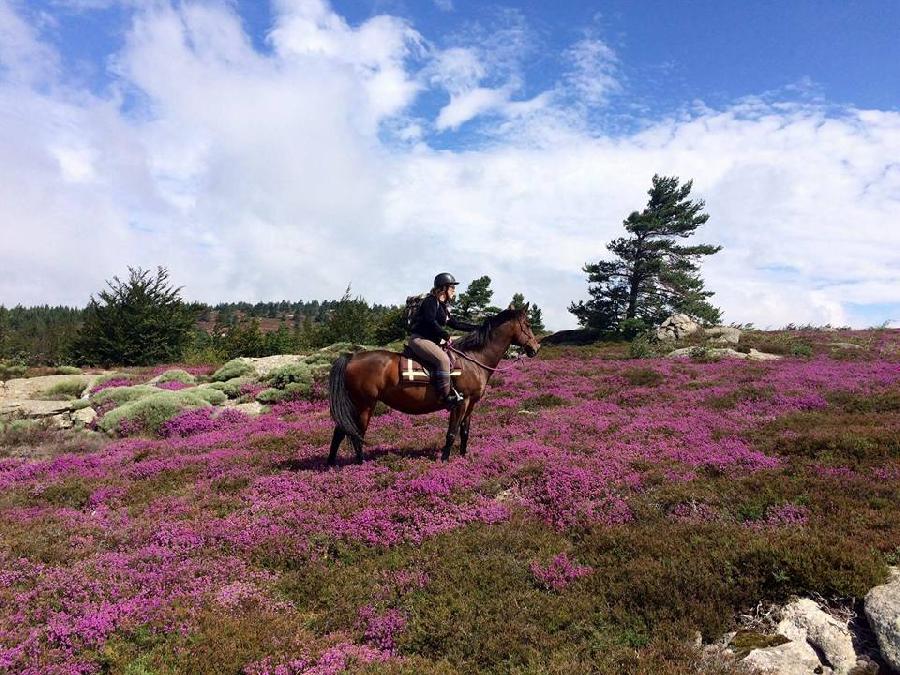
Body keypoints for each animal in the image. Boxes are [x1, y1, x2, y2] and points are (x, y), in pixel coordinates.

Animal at [330, 304, 540, 464]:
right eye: (528, 324)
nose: (536, 348)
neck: (473, 360)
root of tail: (351, 357)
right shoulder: (461, 402)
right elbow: (452, 433)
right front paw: (445, 460)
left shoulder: (471, 404)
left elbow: (465, 431)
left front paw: (463, 456)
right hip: (365, 405)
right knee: (356, 434)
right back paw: (360, 463)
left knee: (340, 431)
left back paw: (332, 463)